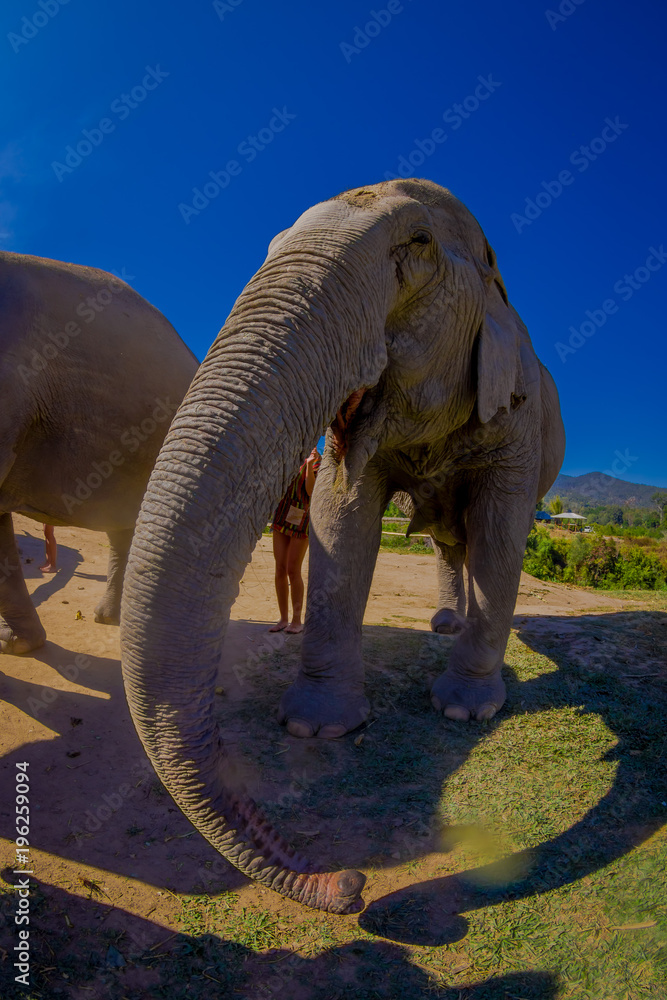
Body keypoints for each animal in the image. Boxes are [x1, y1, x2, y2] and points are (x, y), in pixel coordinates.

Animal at [120, 178, 565, 914]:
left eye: (417, 245)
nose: (353, 885)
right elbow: (341, 512)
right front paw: (317, 730)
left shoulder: (518, 417)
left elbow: (502, 530)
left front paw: (465, 710)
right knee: (449, 542)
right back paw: (444, 623)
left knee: (469, 538)